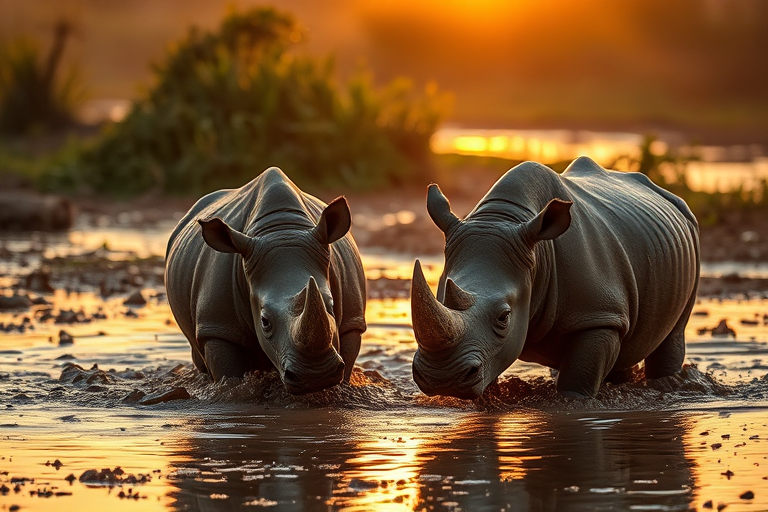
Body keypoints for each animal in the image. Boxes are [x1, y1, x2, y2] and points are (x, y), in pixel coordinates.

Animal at [165, 168, 366, 394]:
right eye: (265, 321)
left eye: (331, 306)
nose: (316, 375)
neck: (281, 230)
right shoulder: (217, 328)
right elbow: (228, 372)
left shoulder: (352, 321)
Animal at [411, 156, 700, 399]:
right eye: (441, 297)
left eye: (504, 317)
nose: (441, 379)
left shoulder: (598, 315)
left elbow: (578, 380)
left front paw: (572, 403)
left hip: (691, 232)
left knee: (674, 331)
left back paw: (667, 384)